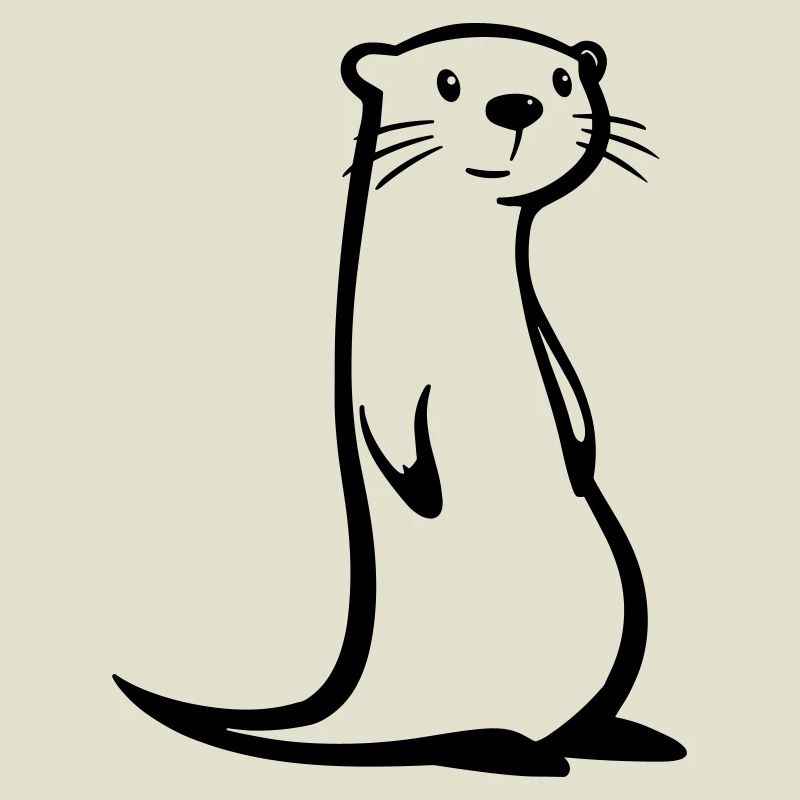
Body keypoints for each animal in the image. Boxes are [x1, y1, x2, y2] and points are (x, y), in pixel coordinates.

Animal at [113, 23, 686, 777]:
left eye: (565, 80)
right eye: (448, 82)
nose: (517, 104)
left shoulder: (540, 332)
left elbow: (570, 388)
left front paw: (582, 453)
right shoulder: (388, 355)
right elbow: (386, 421)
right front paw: (417, 482)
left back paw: (617, 737)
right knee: (453, 739)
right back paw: (512, 753)